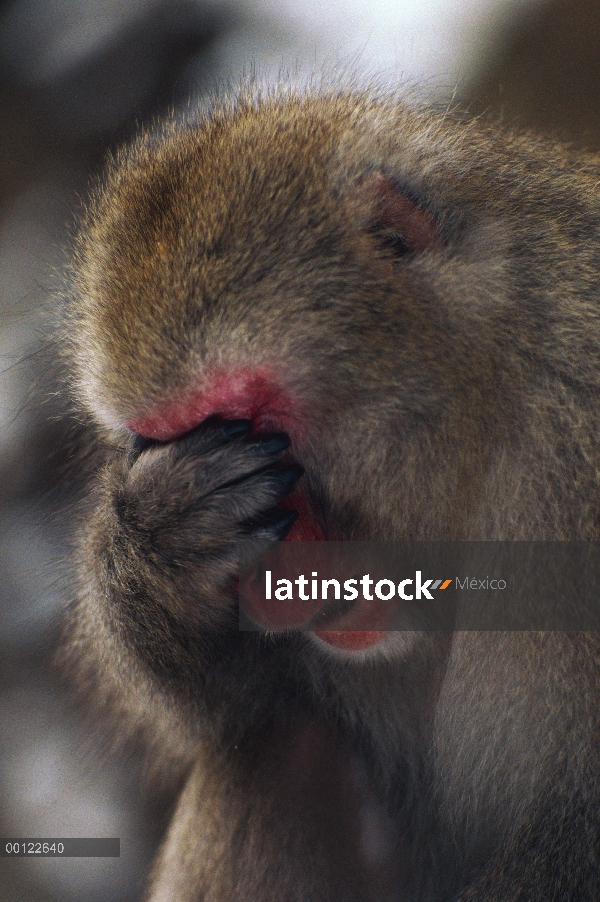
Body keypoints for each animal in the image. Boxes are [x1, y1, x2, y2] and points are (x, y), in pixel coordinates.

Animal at [57, 86, 600, 902]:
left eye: (257, 423)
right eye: (162, 441)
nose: (268, 584)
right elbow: (243, 707)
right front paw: (159, 548)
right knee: (285, 747)